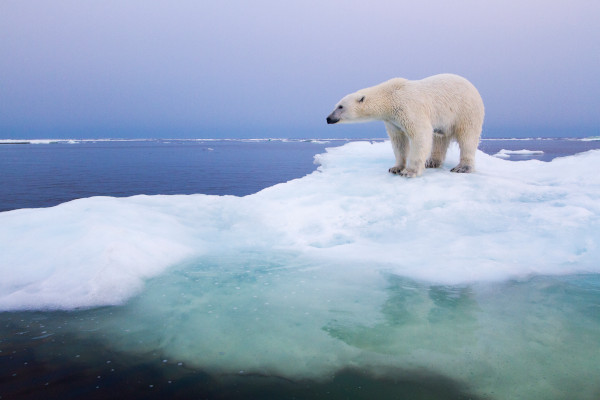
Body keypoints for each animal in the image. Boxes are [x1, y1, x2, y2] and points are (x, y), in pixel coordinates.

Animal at [326, 73, 486, 177]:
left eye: (340, 106)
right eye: (336, 105)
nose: (328, 118)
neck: (390, 96)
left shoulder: (408, 107)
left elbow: (420, 134)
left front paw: (410, 171)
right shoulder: (392, 120)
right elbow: (399, 141)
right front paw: (395, 168)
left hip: (466, 111)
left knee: (467, 138)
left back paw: (462, 168)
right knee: (439, 138)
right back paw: (432, 162)